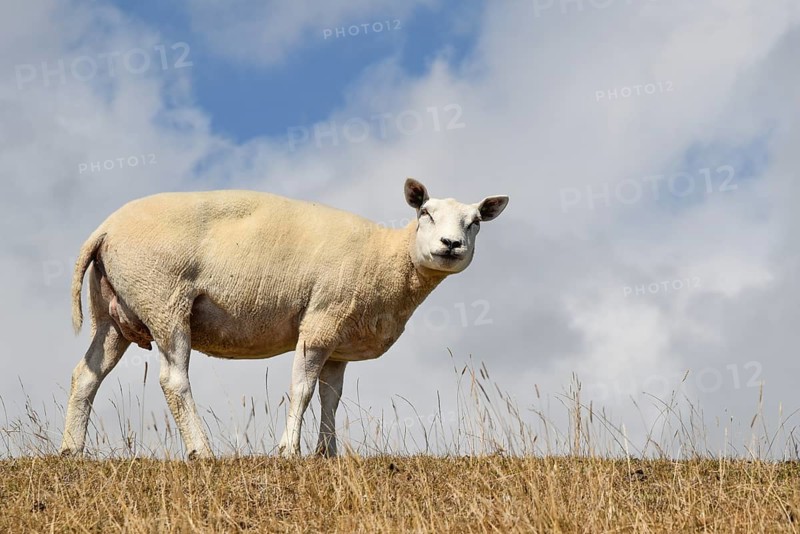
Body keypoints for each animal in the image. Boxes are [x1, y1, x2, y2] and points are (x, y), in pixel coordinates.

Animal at [60, 178, 509, 459]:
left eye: (475, 223)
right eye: (426, 213)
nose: (450, 244)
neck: (387, 258)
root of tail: (104, 229)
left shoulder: (339, 340)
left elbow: (331, 397)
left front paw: (326, 453)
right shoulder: (321, 320)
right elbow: (302, 389)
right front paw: (288, 450)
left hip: (113, 312)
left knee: (86, 374)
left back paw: (71, 450)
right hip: (163, 299)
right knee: (173, 379)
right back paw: (201, 451)